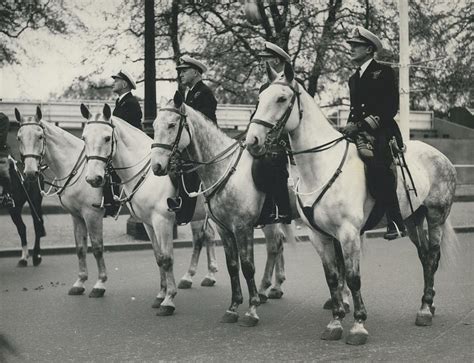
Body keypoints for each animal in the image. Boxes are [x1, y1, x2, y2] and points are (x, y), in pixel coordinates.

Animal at [151, 94, 292, 328]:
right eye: (153, 125)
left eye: (171, 125)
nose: (156, 166)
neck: (223, 169)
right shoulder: (224, 229)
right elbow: (233, 266)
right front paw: (233, 307)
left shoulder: (243, 228)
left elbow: (247, 266)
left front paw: (251, 310)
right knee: (277, 246)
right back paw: (272, 288)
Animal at [244, 64, 460, 346]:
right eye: (259, 98)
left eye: (281, 98)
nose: (252, 141)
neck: (321, 167)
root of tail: (441, 156)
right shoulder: (319, 236)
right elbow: (333, 277)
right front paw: (335, 321)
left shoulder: (348, 234)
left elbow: (354, 278)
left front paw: (358, 325)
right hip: (413, 219)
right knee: (424, 257)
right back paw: (428, 304)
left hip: (436, 216)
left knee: (433, 257)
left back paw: (424, 309)